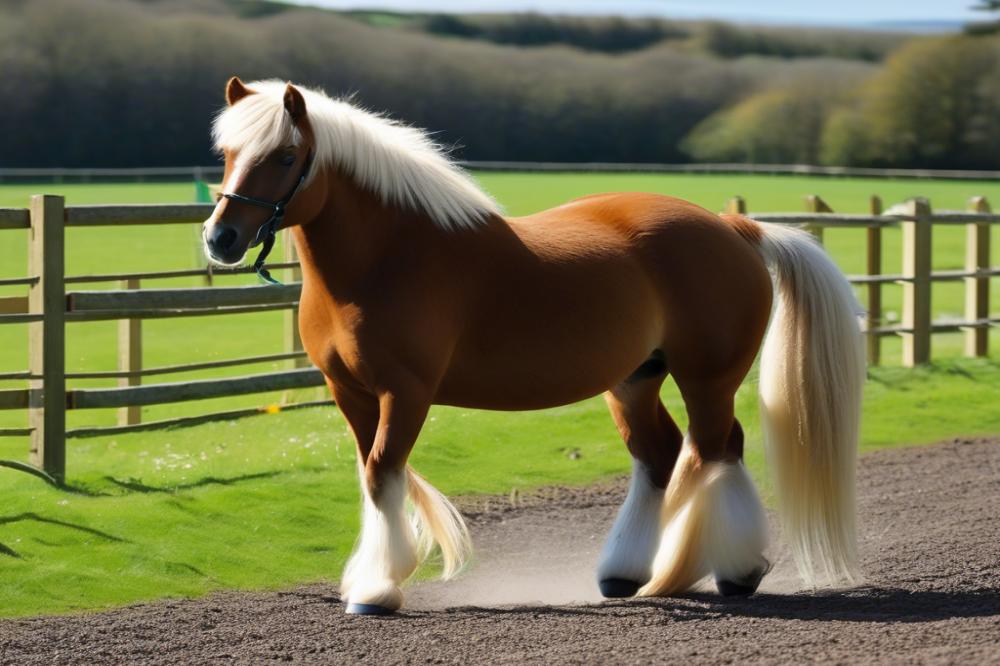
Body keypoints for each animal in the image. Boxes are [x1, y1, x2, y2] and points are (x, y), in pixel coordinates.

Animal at [203, 76, 868, 612]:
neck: (389, 255)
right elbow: (373, 477)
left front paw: (377, 590)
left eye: (286, 155)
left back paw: (734, 572)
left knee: (716, 451)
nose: (220, 238)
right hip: (634, 379)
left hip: (708, 378)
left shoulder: (406, 393)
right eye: (228, 154)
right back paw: (626, 576)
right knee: (660, 456)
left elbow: (384, 473)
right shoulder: (350, 393)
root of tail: (733, 227)